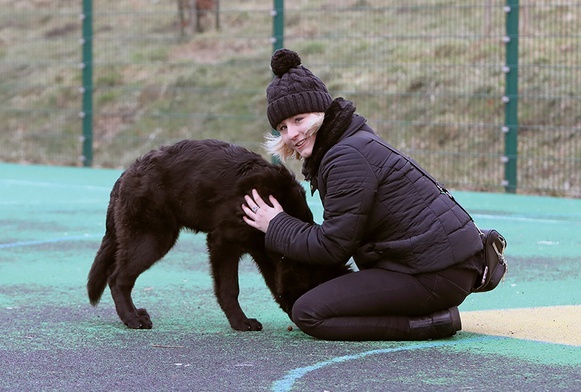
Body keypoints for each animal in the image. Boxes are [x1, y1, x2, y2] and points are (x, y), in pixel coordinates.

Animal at [86, 139, 348, 330]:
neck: (280, 207)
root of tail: (127, 174)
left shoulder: (261, 251)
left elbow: (273, 283)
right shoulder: (224, 242)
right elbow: (230, 288)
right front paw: (240, 322)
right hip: (153, 238)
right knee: (118, 278)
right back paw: (132, 319)